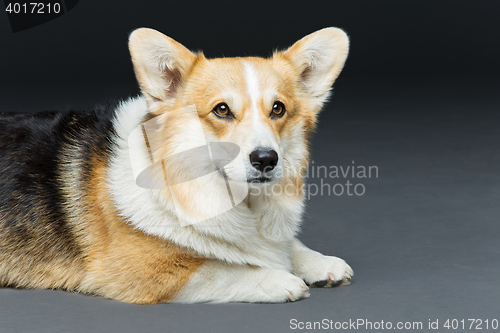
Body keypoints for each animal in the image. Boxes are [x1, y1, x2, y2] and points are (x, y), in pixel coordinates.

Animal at [0, 27, 352, 302]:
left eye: (278, 109)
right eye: (222, 110)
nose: (266, 158)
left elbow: (284, 245)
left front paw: (318, 262)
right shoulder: (144, 273)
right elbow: (223, 268)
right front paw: (278, 279)